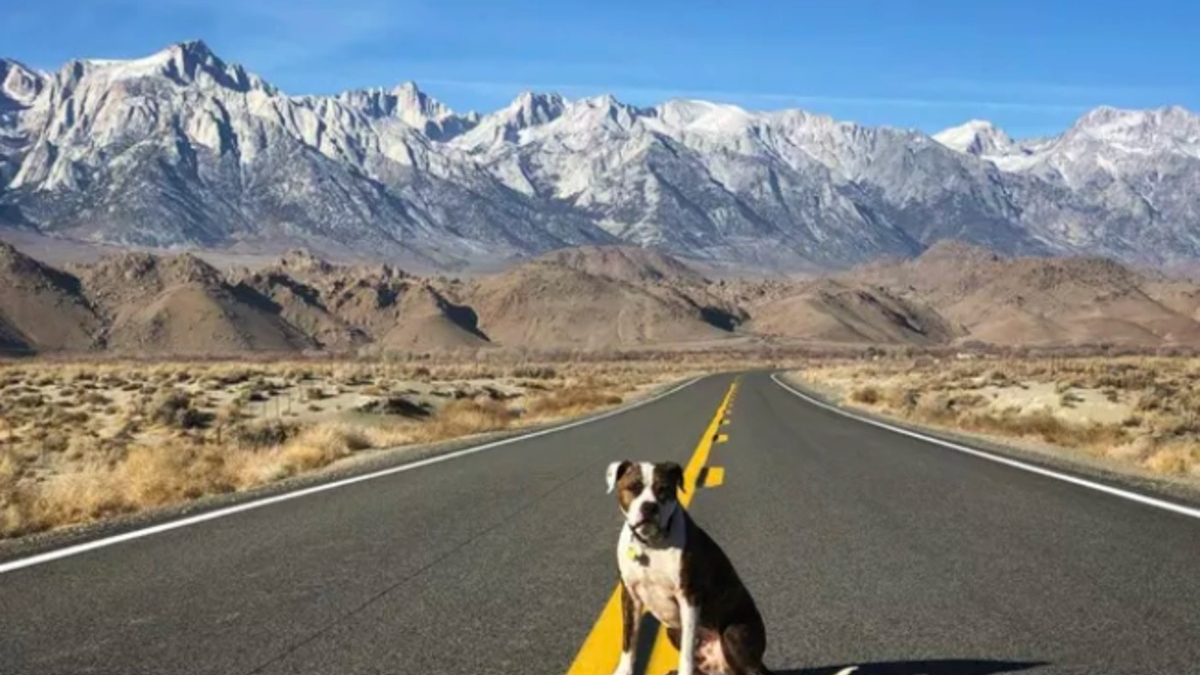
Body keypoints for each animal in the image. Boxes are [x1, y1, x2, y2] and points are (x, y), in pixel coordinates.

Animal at [604, 456, 772, 672]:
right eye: (633, 487)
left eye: (663, 489)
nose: (649, 506)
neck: (651, 544)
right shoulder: (630, 595)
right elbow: (628, 641)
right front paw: (624, 670)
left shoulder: (689, 597)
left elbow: (687, 651)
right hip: (672, 631)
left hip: (735, 633)